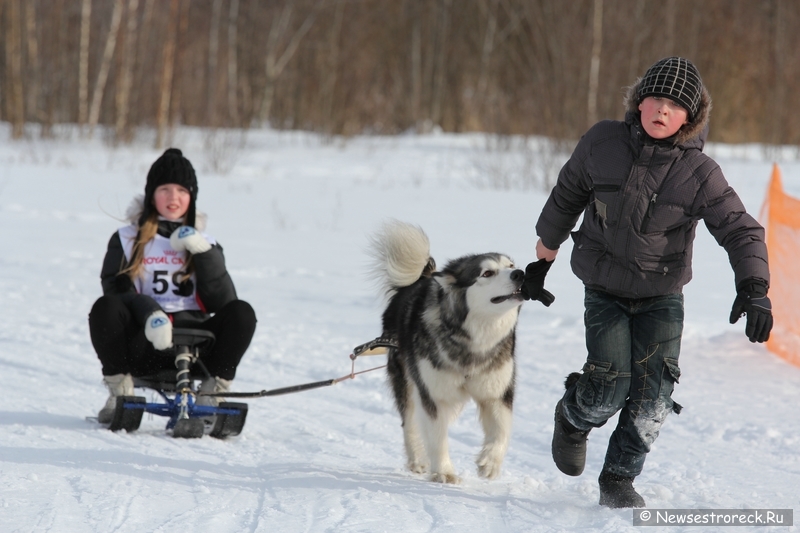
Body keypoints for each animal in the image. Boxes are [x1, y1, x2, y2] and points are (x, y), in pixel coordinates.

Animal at [370, 220, 524, 482]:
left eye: (510, 265)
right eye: (487, 273)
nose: (520, 273)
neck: (473, 340)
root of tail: (420, 278)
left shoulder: (496, 392)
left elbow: (502, 430)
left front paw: (490, 462)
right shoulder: (433, 395)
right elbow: (436, 435)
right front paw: (444, 472)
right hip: (407, 381)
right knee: (411, 423)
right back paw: (418, 458)